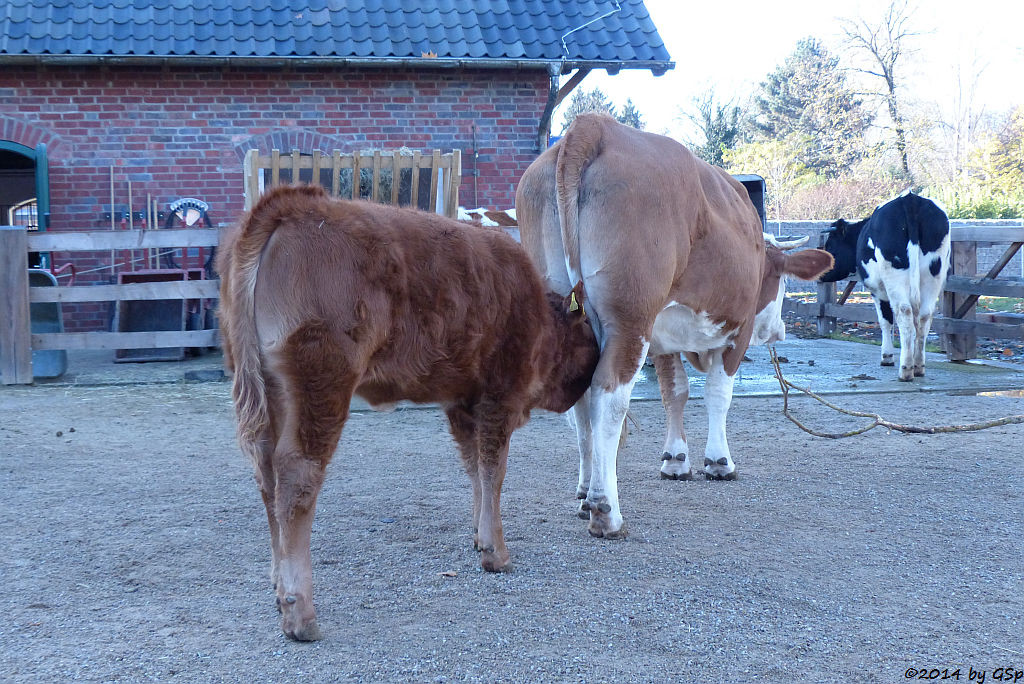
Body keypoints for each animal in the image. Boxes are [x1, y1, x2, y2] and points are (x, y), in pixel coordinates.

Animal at [216, 183, 598, 643]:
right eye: (589, 335)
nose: (595, 371)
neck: (535, 308)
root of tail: (292, 206)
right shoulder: (498, 399)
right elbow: (494, 471)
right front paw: (497, 553)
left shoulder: (461, 404)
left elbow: (475, 470)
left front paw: (478, 536)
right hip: (319, 391)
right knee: (297, 478)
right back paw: (301, 615)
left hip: (266, 397)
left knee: (267, 479)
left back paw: (278, 591)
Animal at [516, 113, 835, 540]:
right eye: (780, 281)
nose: (780, 331)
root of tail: (593, 126)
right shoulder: (736, 334)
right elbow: (717, 394)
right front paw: (718, 461)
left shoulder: (664, 341)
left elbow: (675, 393)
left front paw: (675, 459)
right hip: (630, 318)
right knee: (608, 397)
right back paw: (605, 510)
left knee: (580, 400)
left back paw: (585, 495)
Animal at [815, 192, 950, 382]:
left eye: (830, 246)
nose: (819, 274)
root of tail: (909, 199)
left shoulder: (877, 291)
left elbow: (885, 320)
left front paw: (887, 357)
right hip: (933, 277)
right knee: (924, 317)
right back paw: (918, 366)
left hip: (895, 279)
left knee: (904, 313)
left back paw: (906, 369)